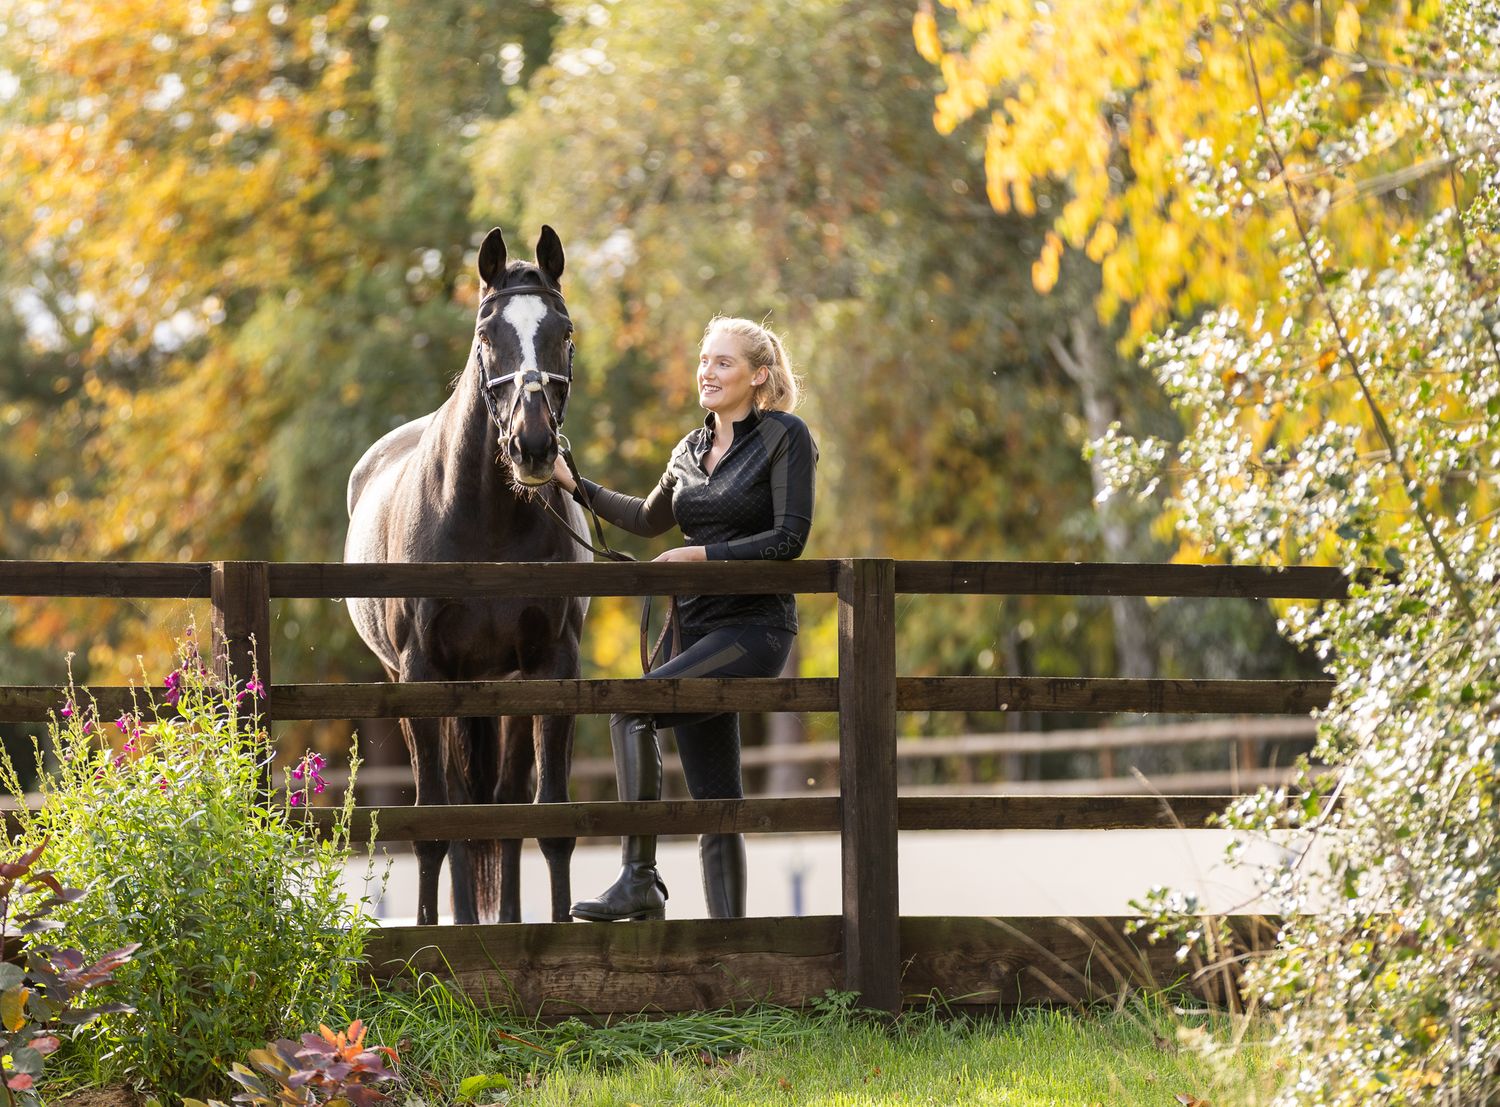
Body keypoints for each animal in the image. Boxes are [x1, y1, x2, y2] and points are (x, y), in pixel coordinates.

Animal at [343, 226, 588, 925]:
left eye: (563, 332)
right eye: (487, 334)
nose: (533, 446)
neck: (486, 523)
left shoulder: (550, 667)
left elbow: (543, 815)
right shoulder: (422, 673)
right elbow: (434, 817)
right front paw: (429, 934)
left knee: (498, 798)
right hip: (410, 682)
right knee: (455, 801)